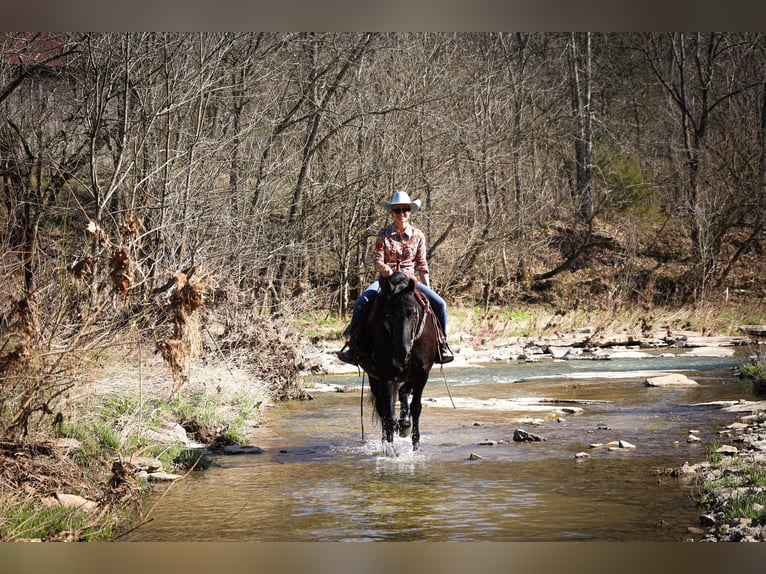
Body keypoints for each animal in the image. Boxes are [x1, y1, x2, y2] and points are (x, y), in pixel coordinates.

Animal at [356, 272, 438, 456]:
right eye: (388, 315)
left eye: (413, 313)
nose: (401, 353)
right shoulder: (386, 375)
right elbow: (388, 414)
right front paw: (391, 449)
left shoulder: (422, 374)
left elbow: (416, 407)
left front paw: (416, 445)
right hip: (374, 377)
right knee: (382, 409)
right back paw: (385, 441)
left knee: (403, 393)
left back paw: (404, 425)